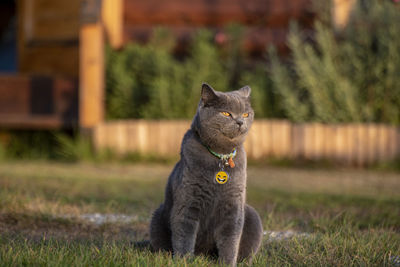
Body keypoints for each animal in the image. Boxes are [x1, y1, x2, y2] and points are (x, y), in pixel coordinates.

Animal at [149, 83, 262, 266]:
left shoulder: (233, 207)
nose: (240, 121)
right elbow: (184, 236)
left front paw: (227, 263)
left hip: (252, 215)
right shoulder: (188, 202)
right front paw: (184, 261)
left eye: (246, 114)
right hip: (157, 217)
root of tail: (204, 254)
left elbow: (231, 240)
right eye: (226, 113)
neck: (220, 156)